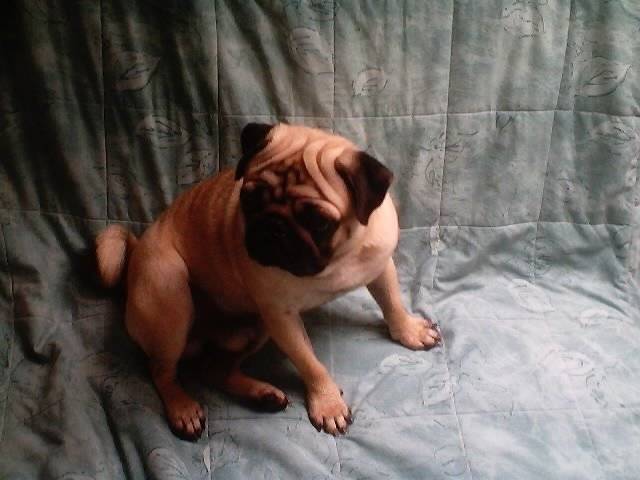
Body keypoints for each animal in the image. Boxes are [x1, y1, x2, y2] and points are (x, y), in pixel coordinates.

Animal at [96, 123, 441, 440]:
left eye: (318, 221)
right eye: (249, 200)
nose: (274, 227)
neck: (334, 260)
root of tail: (136, 249)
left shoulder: (381, 266)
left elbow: (392, 303)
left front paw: (408, 331)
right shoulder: (281, 317)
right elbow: (310, 363)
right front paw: (328, 403)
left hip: (253, 329)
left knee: (214, 369)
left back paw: (262, 395)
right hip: (171, 297)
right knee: (162, 370)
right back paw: (183, 408)